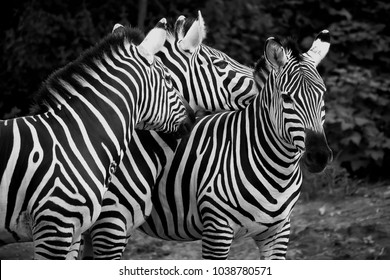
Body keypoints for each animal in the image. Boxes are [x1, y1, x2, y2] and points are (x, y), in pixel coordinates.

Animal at [137, 29, 332, 260]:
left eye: (322, 94)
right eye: (286, 98)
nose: (319, 156)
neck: (279, 174)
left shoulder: (279, 231)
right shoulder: (217, 230)